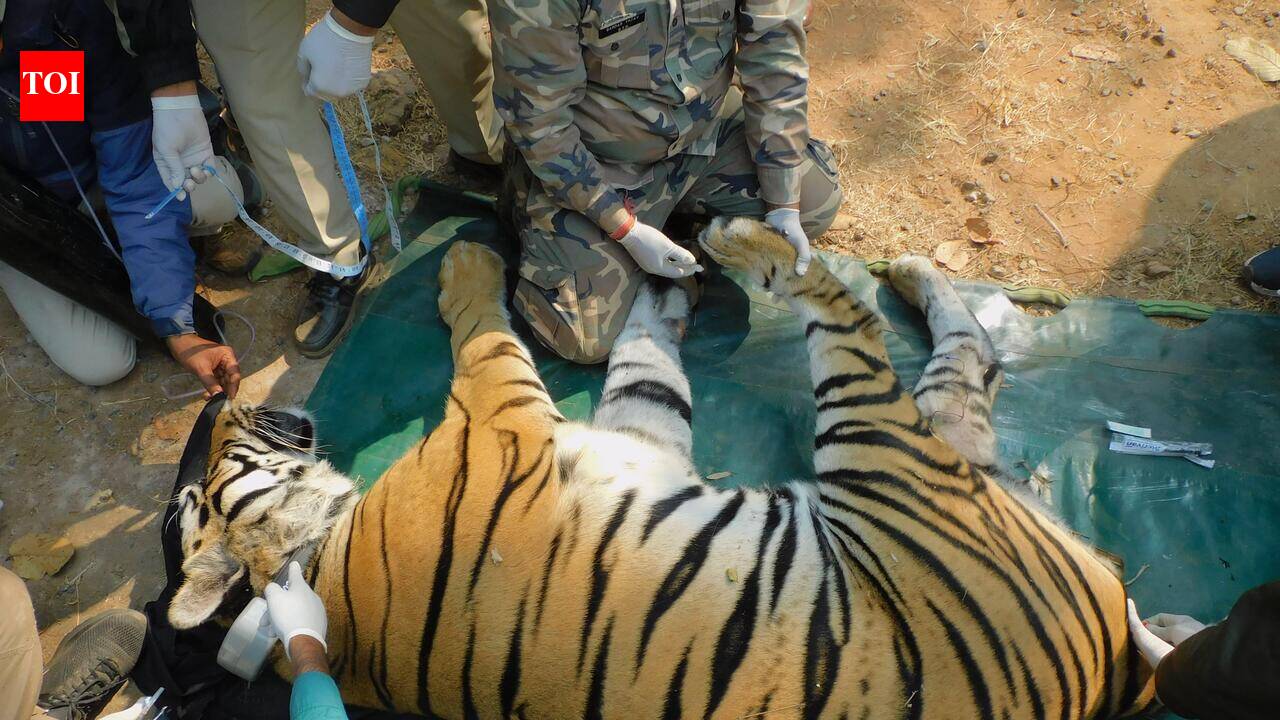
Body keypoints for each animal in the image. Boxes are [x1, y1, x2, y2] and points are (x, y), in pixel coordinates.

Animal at [167, 221, 1159, 719]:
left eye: (202, 474)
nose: (221, 401)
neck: (317, 560)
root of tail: (1113, 623)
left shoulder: (615, 428)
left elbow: (643, 350)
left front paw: (661, 277)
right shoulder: (498, 404)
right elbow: (483, 321)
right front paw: (472, 259)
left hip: (939, 462)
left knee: (966, 362)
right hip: (892, 463)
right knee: (870, 320)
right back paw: (766, 243)